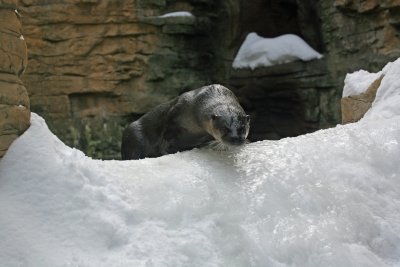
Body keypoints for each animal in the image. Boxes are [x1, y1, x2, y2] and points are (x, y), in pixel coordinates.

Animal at [120, 85, 250, 160]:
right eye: (224, 128)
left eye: (243, 128)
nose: (236, 138)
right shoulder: (175, 111)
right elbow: (164, 135)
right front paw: (164, 152)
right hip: (133, 134)